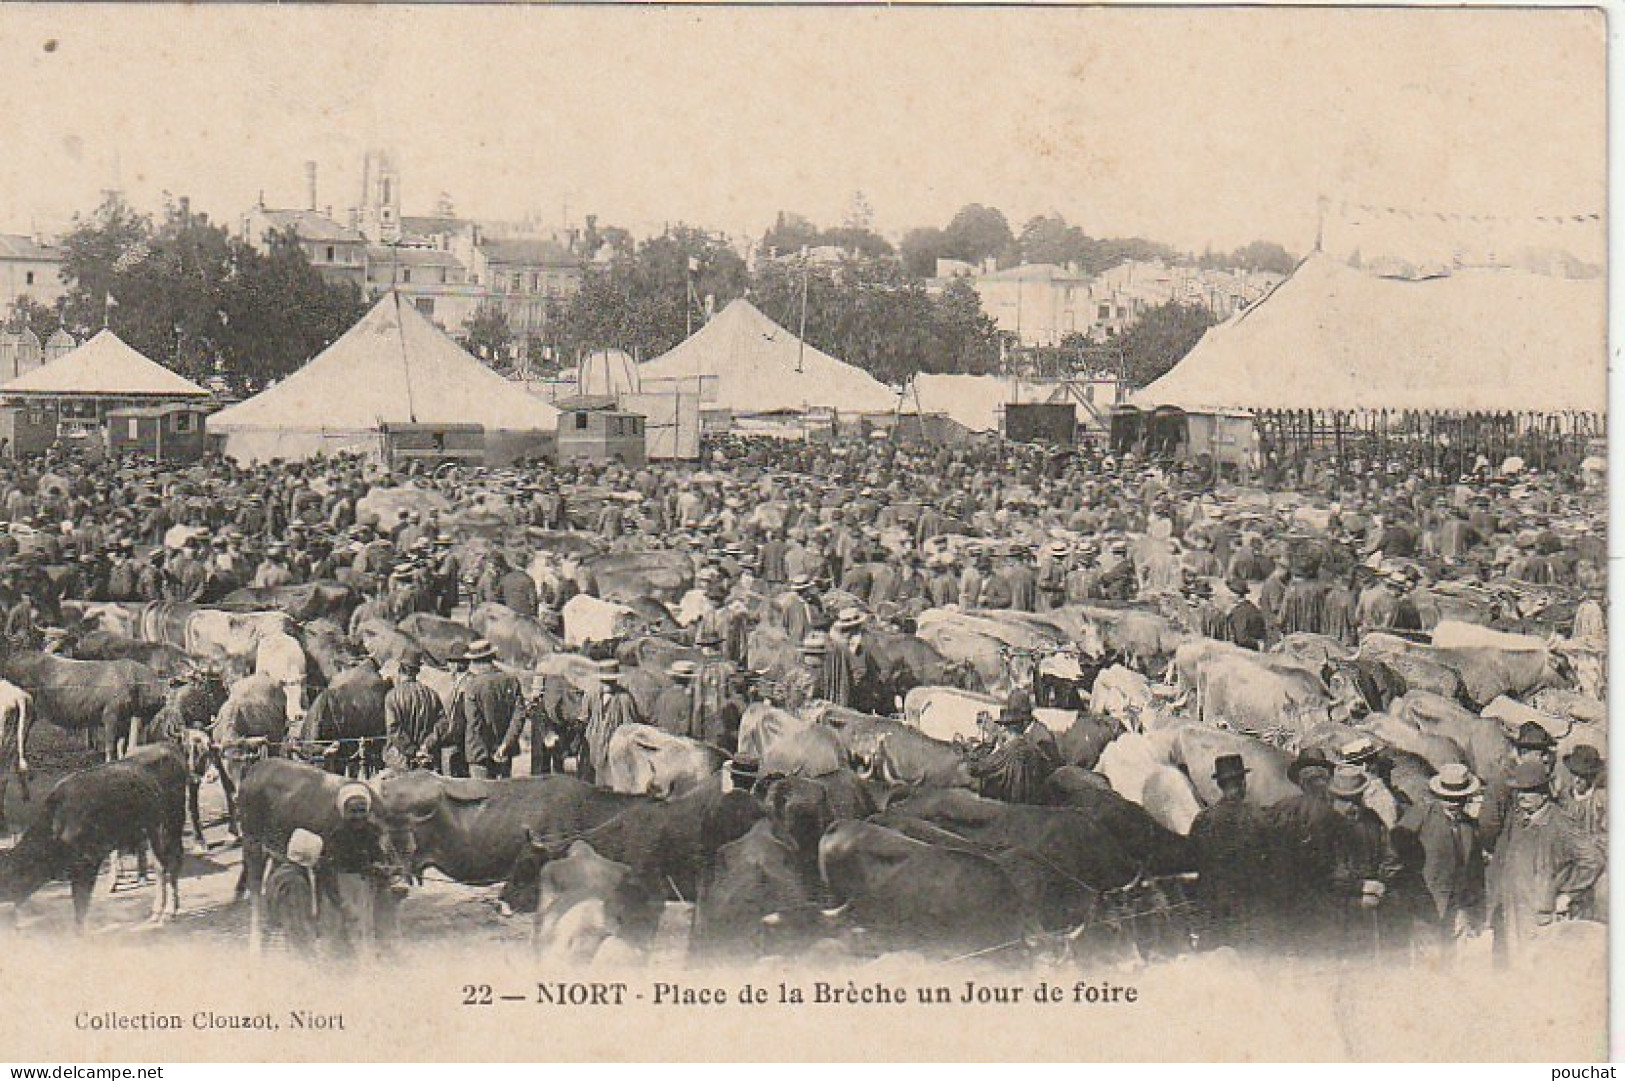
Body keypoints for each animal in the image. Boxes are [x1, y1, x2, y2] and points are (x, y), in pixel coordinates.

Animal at [0, 741, 185, 929]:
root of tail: (168, 747)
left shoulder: (87, 864)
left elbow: (80, 908)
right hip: (153, 830)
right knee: (160, 866)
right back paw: (156, 913)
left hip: (170, 825)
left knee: (172, 862)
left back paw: (169, 912)